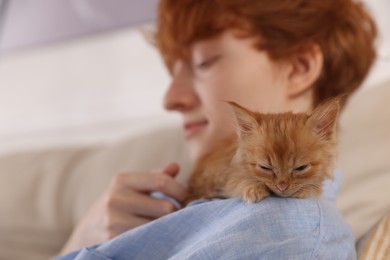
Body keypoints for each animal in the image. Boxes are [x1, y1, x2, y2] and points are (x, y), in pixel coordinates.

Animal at [184, 98, 340, 205]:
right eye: (265, 167)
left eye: (301, 168)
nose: (282, 186)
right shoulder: (228, 174)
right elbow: (236, 182)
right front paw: (252, 188)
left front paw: (308, 189)